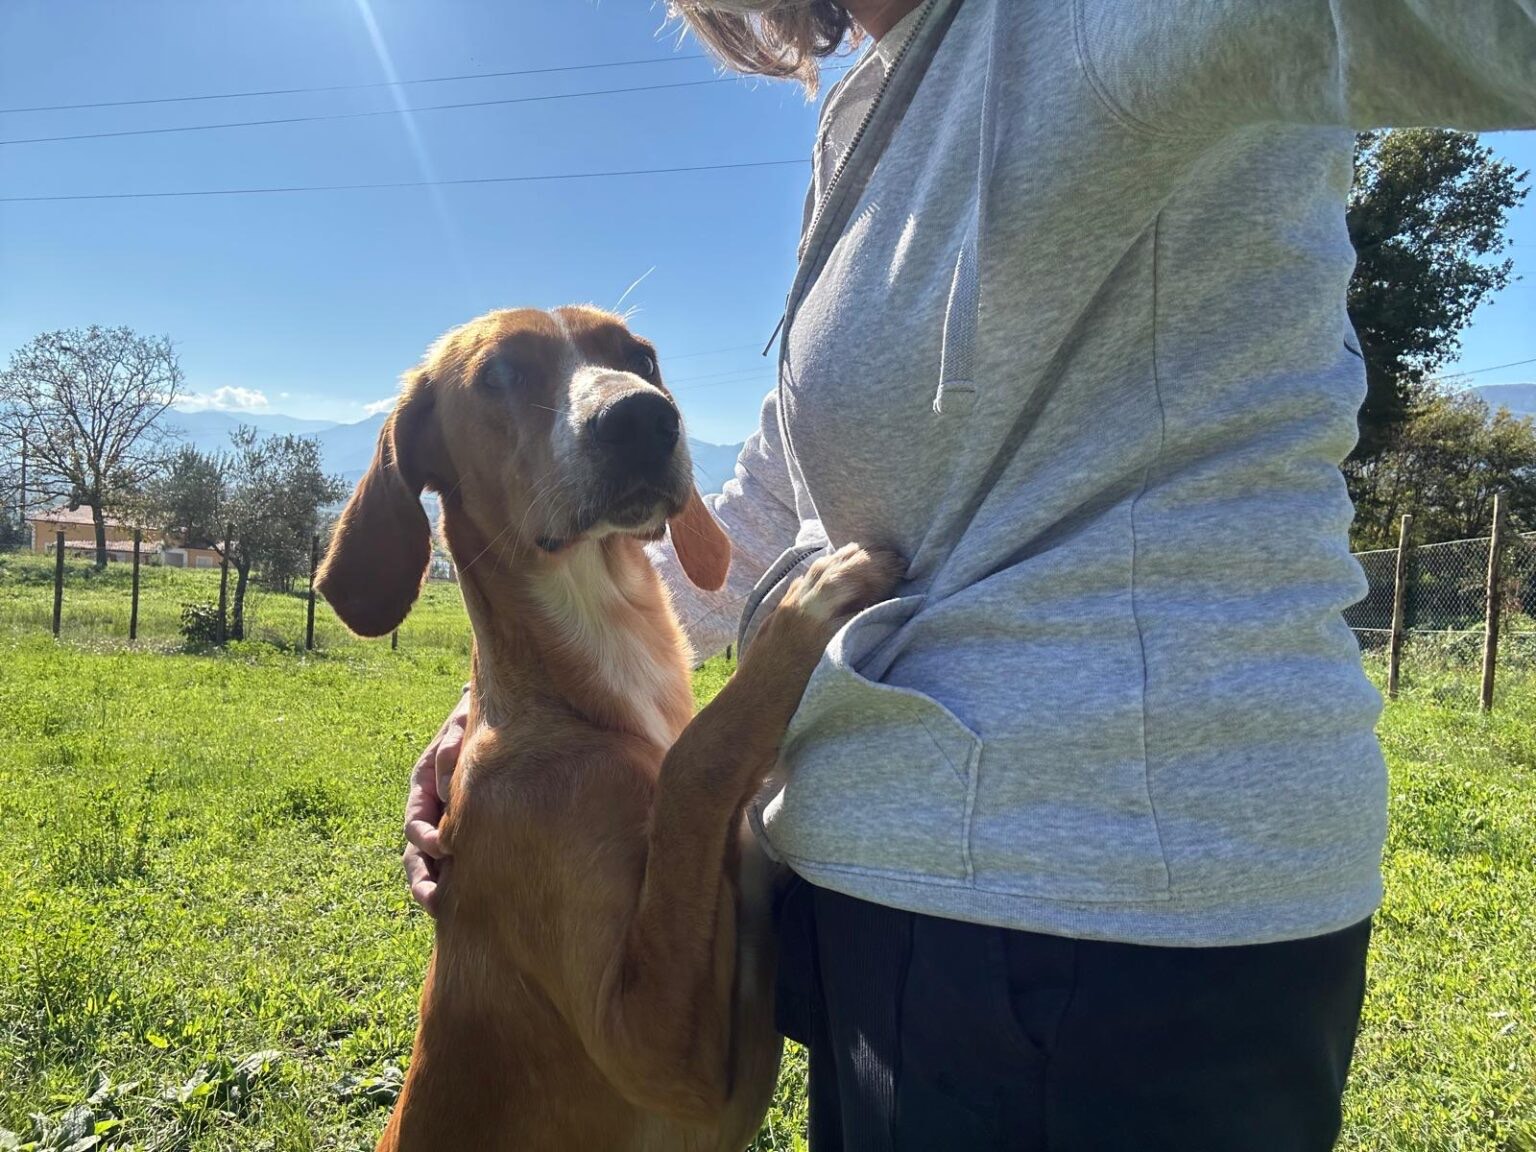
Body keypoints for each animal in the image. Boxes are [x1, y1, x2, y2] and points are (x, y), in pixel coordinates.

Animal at [321, 308, 897, 1152]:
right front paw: (806, 603)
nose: (643, 418)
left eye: (641, 358)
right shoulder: (658, 1055)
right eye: (499, 374)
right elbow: (694, 765)